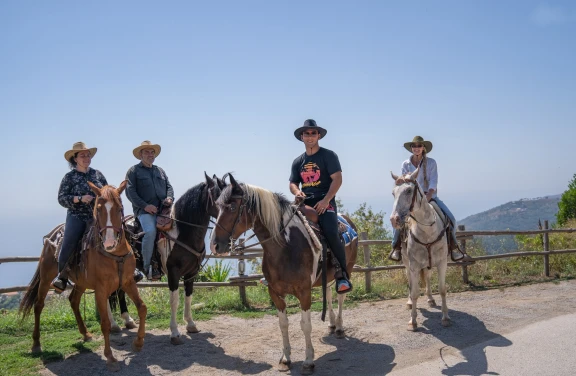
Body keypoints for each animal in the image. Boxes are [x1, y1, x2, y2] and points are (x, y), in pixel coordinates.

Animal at [19, 181, 147, 372]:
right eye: (98, 209)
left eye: (119, 208)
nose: (109, 242)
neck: (113, 255)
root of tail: (52, 234)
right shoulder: (101, 290)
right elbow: (105, 323)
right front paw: (110, 358)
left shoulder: (128, 282)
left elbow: (142, 308)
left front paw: (138, 343)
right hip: (46, 276)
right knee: (38, 305)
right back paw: (36, 344)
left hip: (80, 282)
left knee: (73, 300)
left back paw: (85, 333)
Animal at [209, 175, 358, 374]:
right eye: (217, 206)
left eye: (232, 207)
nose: (215, 245)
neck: (285, 247)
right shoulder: (275, 293)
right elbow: (283, 324)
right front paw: (286, 358)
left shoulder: (304, 292)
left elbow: (305, 325)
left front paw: (308, 361)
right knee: (328, 292)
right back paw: (332, 324)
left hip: (347, 267)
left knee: (341, 296)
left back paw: (340, 327)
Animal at [390, 167, 452, 328]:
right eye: (393, 193)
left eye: (408, 190)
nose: (394, 219)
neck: (427, 232)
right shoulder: (414, 266)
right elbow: (414, 292)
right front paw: (413, 321)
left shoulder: (442, 262)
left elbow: (442, 289)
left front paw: (445, 317)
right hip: (407, 263)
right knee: (410, 282)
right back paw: (410, 303)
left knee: (428, 278)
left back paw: (430, 299)